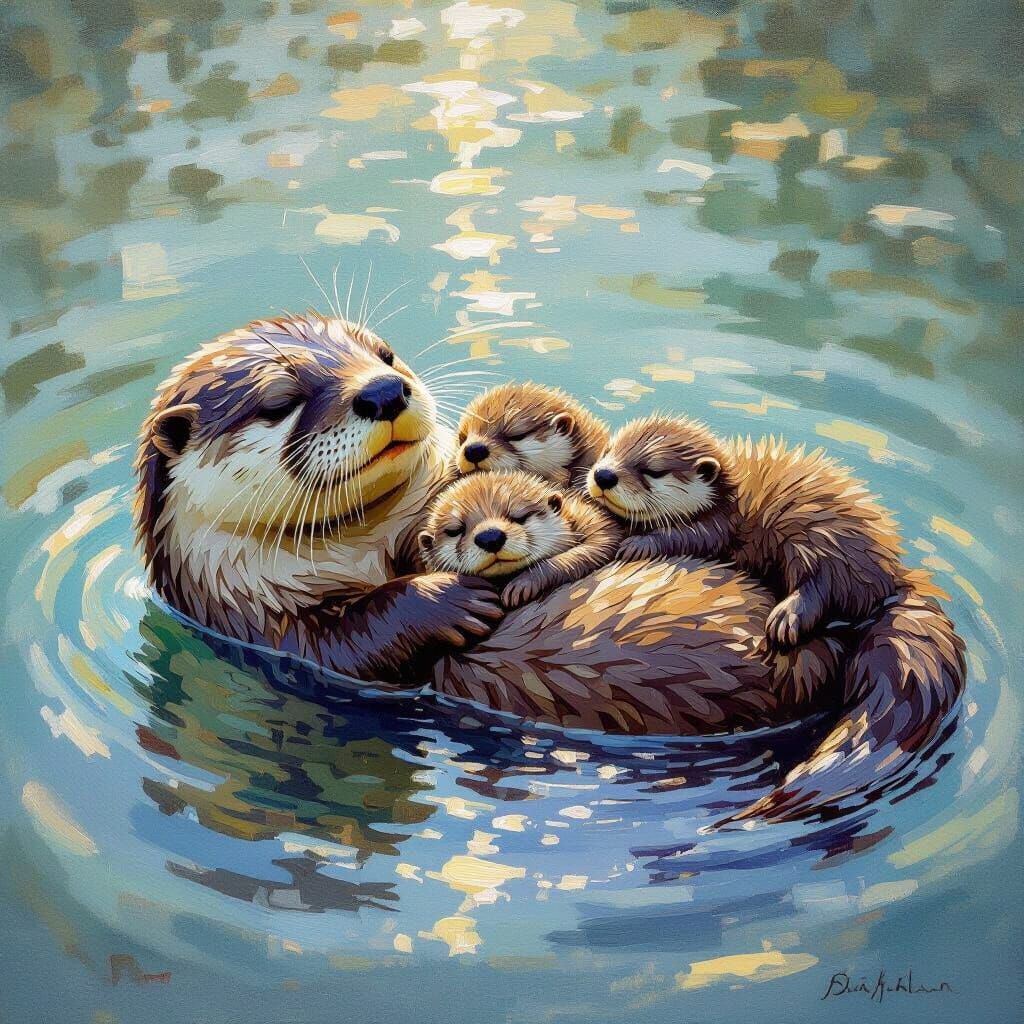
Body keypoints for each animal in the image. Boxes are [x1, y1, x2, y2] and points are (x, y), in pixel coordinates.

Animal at [419, 470, 621, 608]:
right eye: (456, 530)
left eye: (519, 516)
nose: (490, 537)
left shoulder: (589, 517)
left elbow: (600, 544)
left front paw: (523, 584)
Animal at [589, 416, 905, 651]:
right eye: (608, 452)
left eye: (651, 470)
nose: (603, 475)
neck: (726, 497)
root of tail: (887, 568)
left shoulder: (719, 525)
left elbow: (685, 538)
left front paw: (639, 543)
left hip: (826, 542)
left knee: (823, 586)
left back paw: (787, 616)